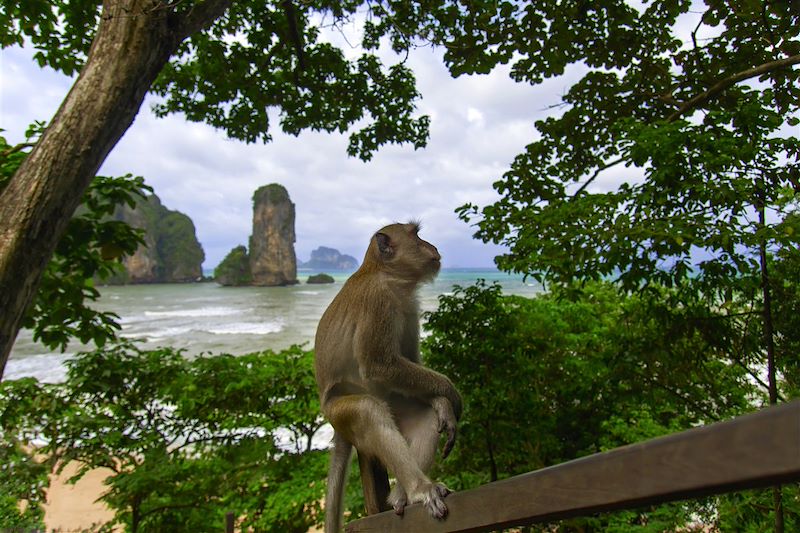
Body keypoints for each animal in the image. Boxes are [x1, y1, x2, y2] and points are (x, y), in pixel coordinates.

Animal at [312, 221, 462, 532]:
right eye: (416, 235)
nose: (432, 245)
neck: (386, 275)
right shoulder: (378, 302)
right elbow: (380, 365)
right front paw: (450, 393)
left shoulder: (410, 307)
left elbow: (410, 363)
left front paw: (442, 403)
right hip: (340, 412)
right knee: (368, 410)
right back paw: (419, 489)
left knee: (424, 418)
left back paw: (400, 497)